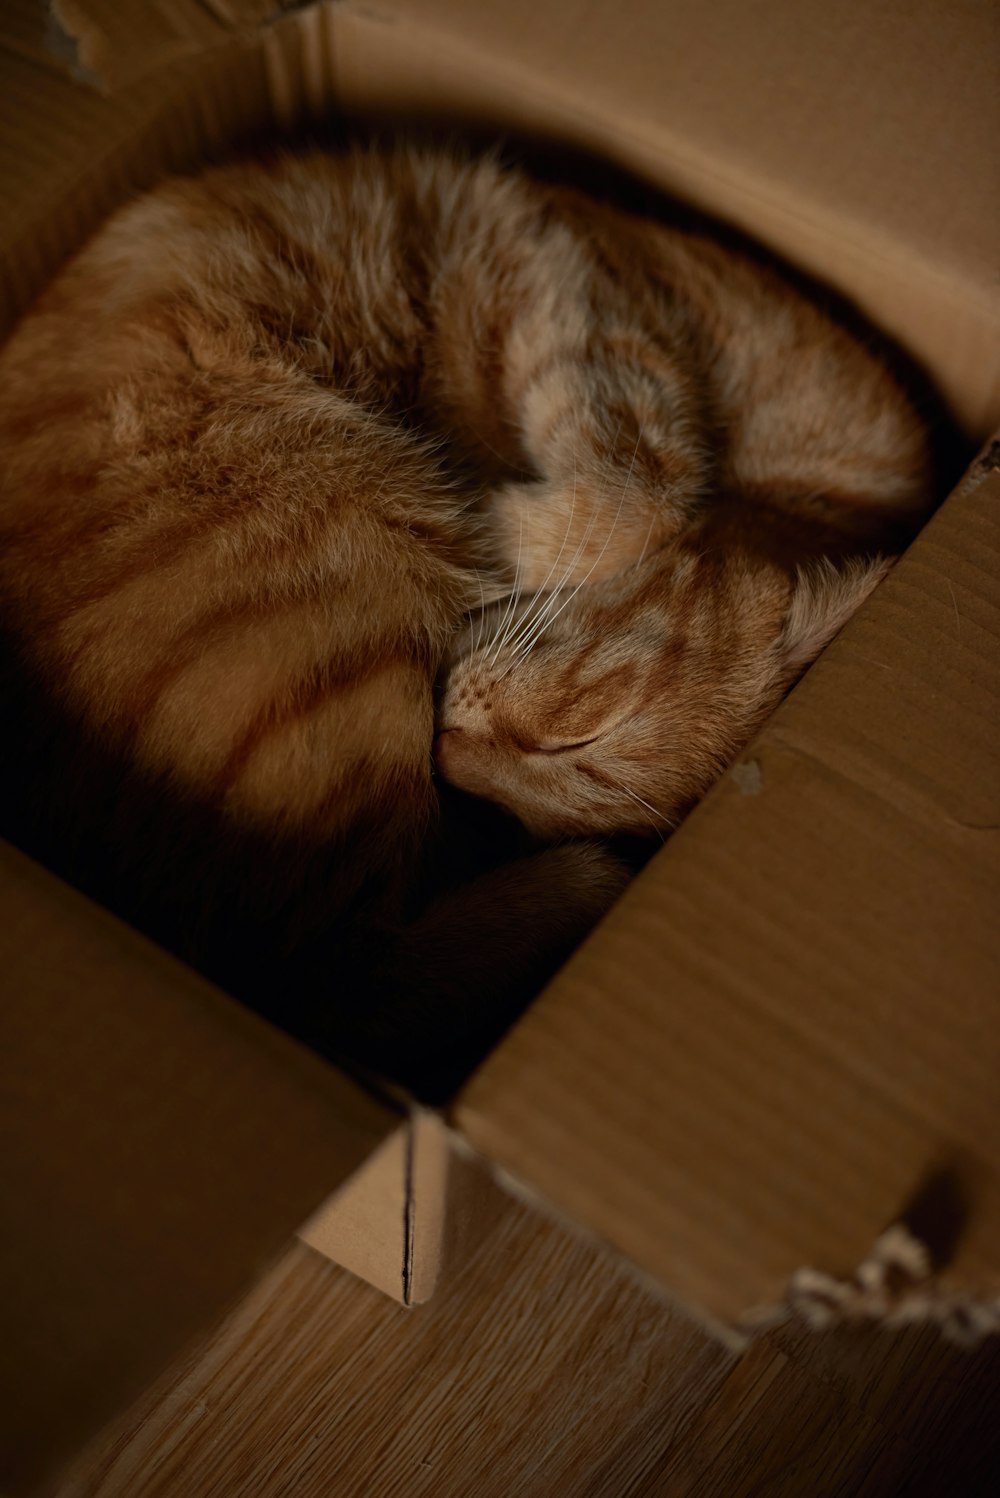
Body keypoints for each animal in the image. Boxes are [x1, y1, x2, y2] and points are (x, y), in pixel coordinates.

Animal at [0, 149, 934, 1090]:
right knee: (338, 977)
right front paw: (494, 520)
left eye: (523, 815)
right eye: (582, 732)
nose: (448, 760)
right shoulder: (564, 293)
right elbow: (639, 502)